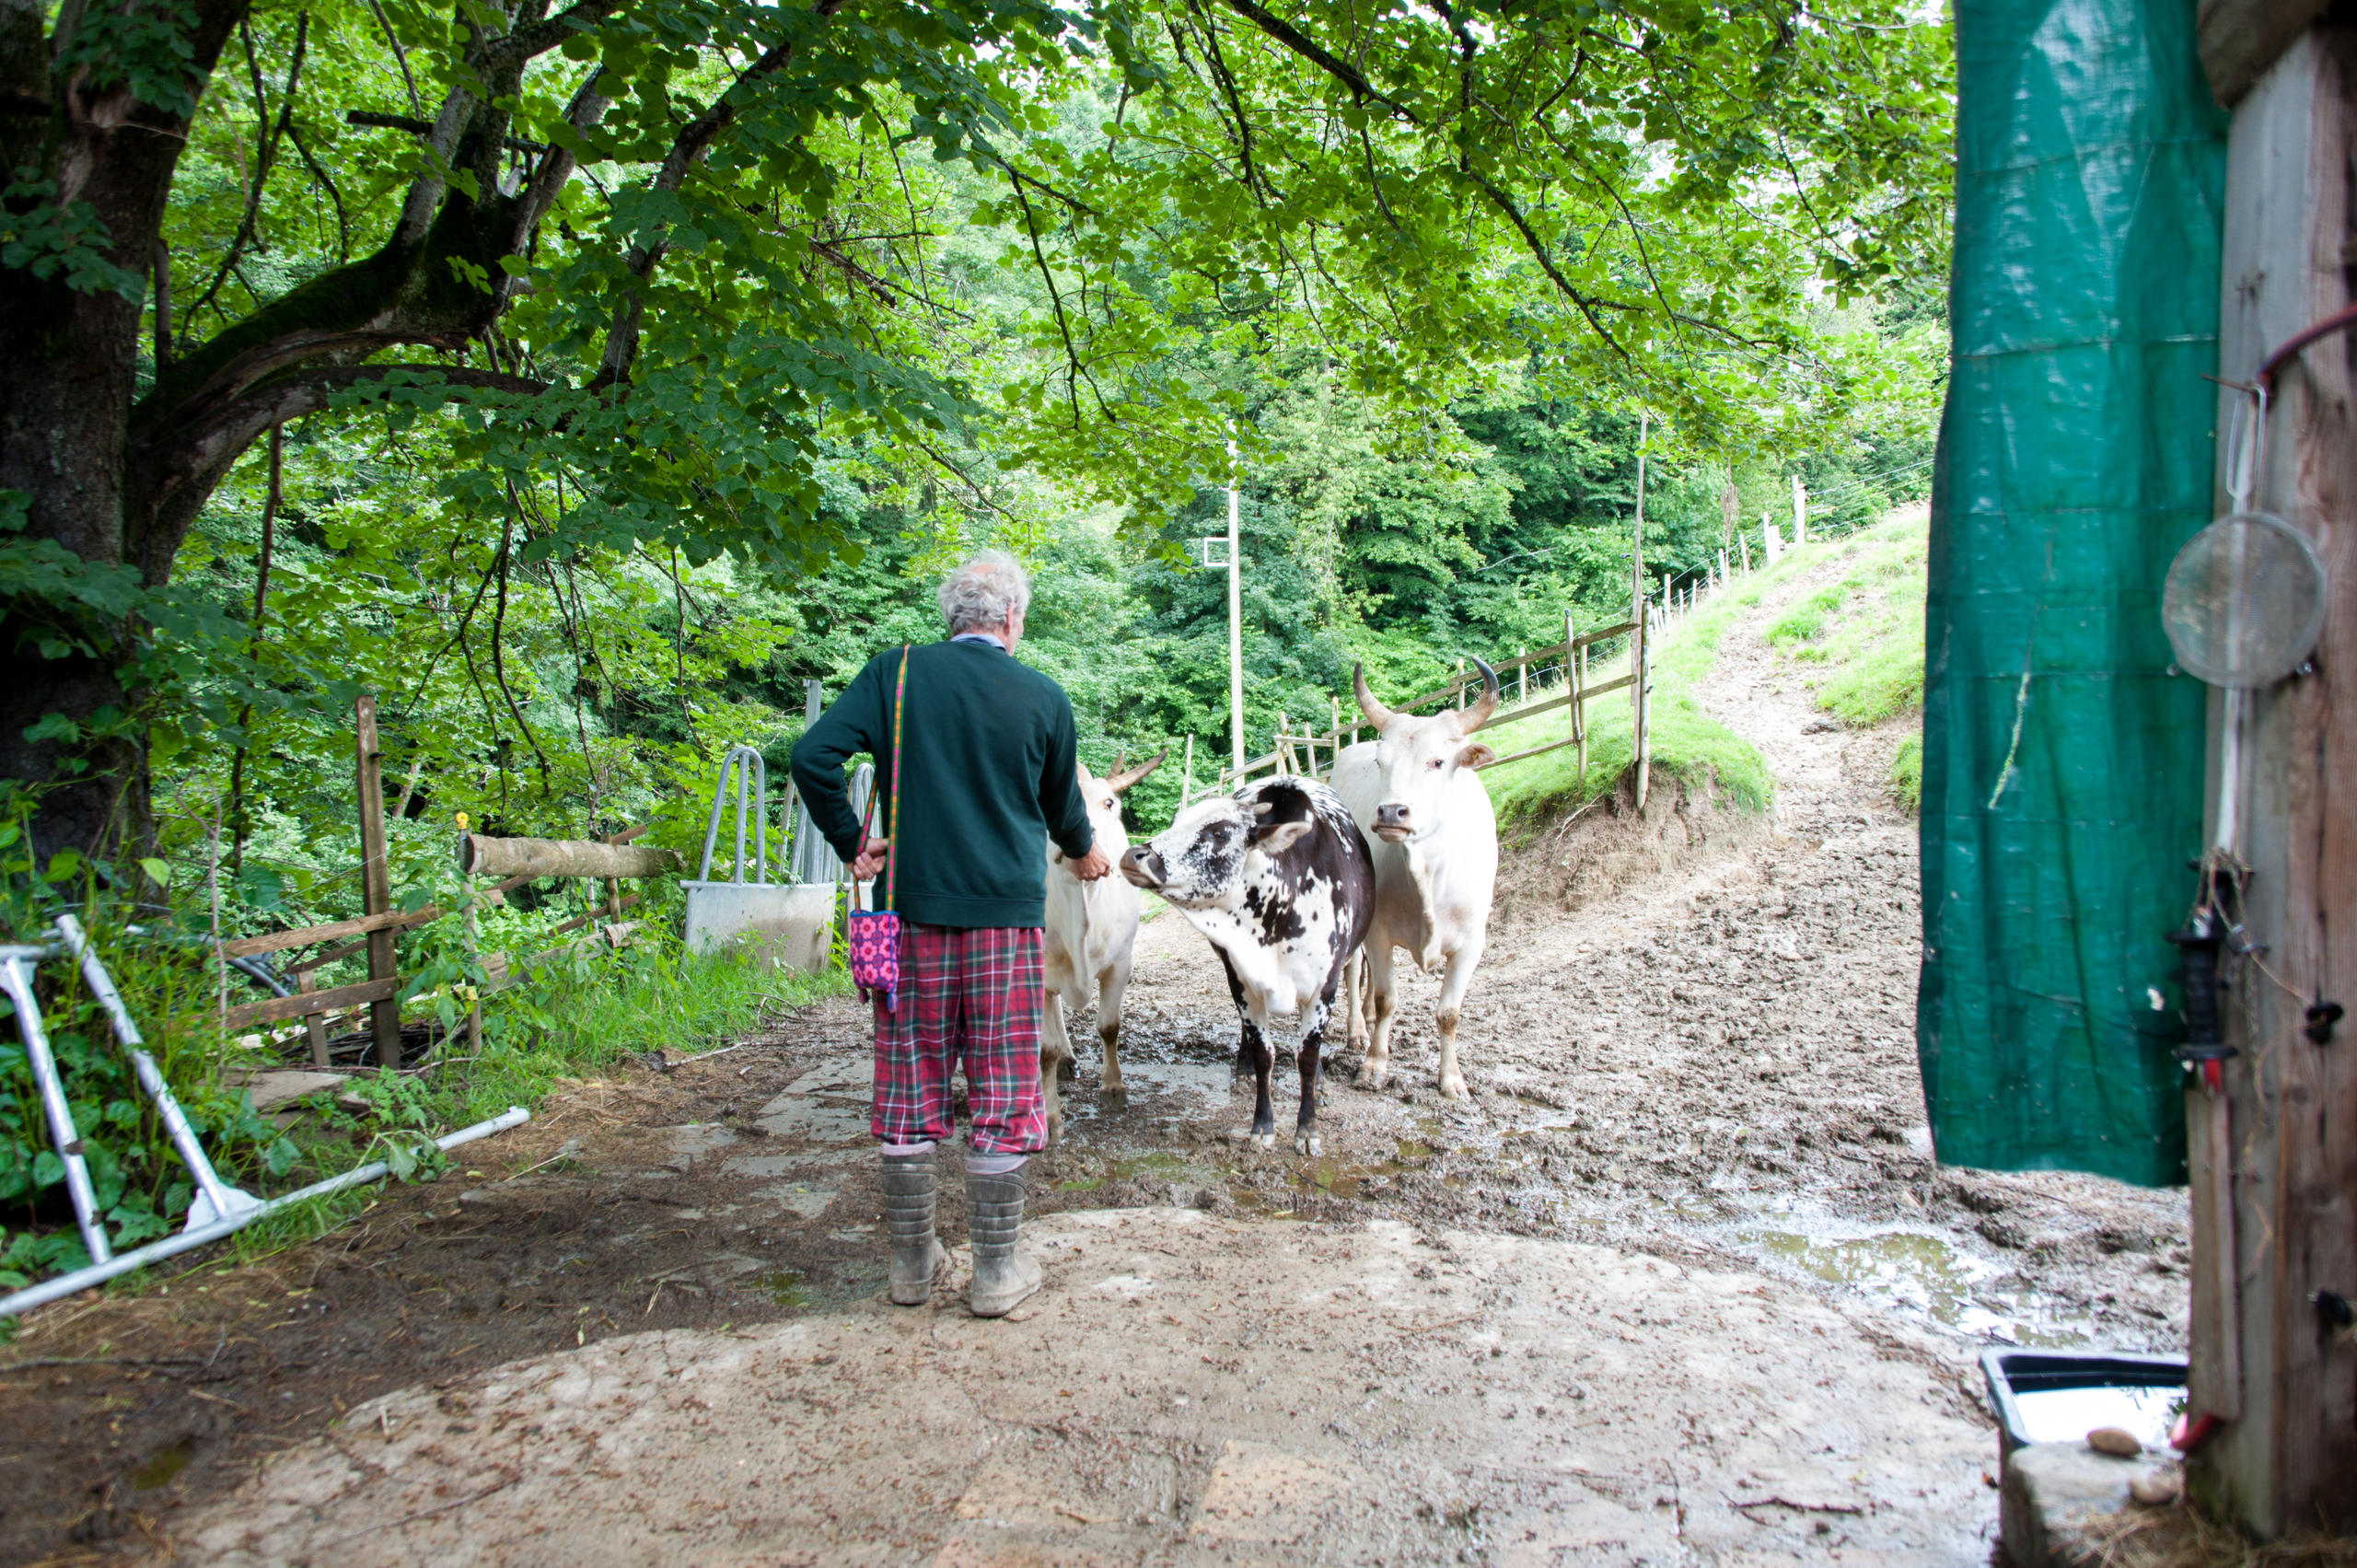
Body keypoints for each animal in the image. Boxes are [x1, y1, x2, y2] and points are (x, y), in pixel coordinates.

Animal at [1041, 745, 1168, 1136]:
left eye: (1109, 802)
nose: (1080, 839)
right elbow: (1044, 1049)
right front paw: (1049, 1115)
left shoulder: (1120, 964)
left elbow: (1109, 1027)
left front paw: (1113, 1087)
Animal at [1112, 778, 1376, 1155]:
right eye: (1176, 822)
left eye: (1220, 833)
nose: (1134, 855)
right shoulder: (1242, 981)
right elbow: (1264, 1053)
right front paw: (1262, 1124)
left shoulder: (1324, 988)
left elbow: (1307, 1056)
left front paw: (1307, 1128)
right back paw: (1243, 1069)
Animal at [1339, 655, 1499, 1094]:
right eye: (1382, 763)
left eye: (1437, 761)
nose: (1391, 813)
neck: (1428, 873)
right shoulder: (1378, 931)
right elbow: (1386, 998)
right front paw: (1374, 1064)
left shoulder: (1471, 943)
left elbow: (1449, 1013)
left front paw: (1452, 1079)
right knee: (1355, 972)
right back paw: (1358, 1030)